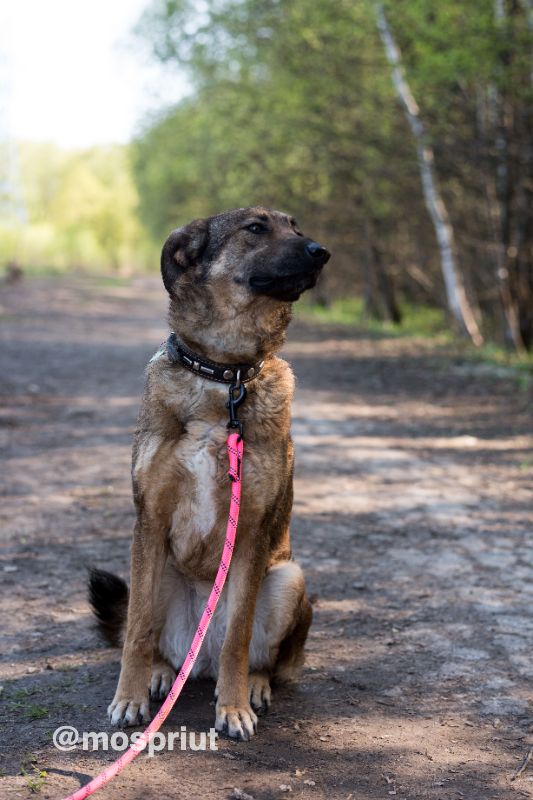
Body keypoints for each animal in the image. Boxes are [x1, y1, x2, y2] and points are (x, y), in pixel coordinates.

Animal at [89, 205, 328, 736]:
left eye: (297, 227)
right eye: (255, 228)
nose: (322, 251)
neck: (224, 375)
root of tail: (201, 659)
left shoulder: (252, 531)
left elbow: (238, 634)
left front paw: (233, 708)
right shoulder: (150, 522)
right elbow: (136, 632)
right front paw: (129, 697)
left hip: (288, 578)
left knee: (256, 657)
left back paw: (251, 685)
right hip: (154, 571)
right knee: (153, 637)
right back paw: (161, 675)